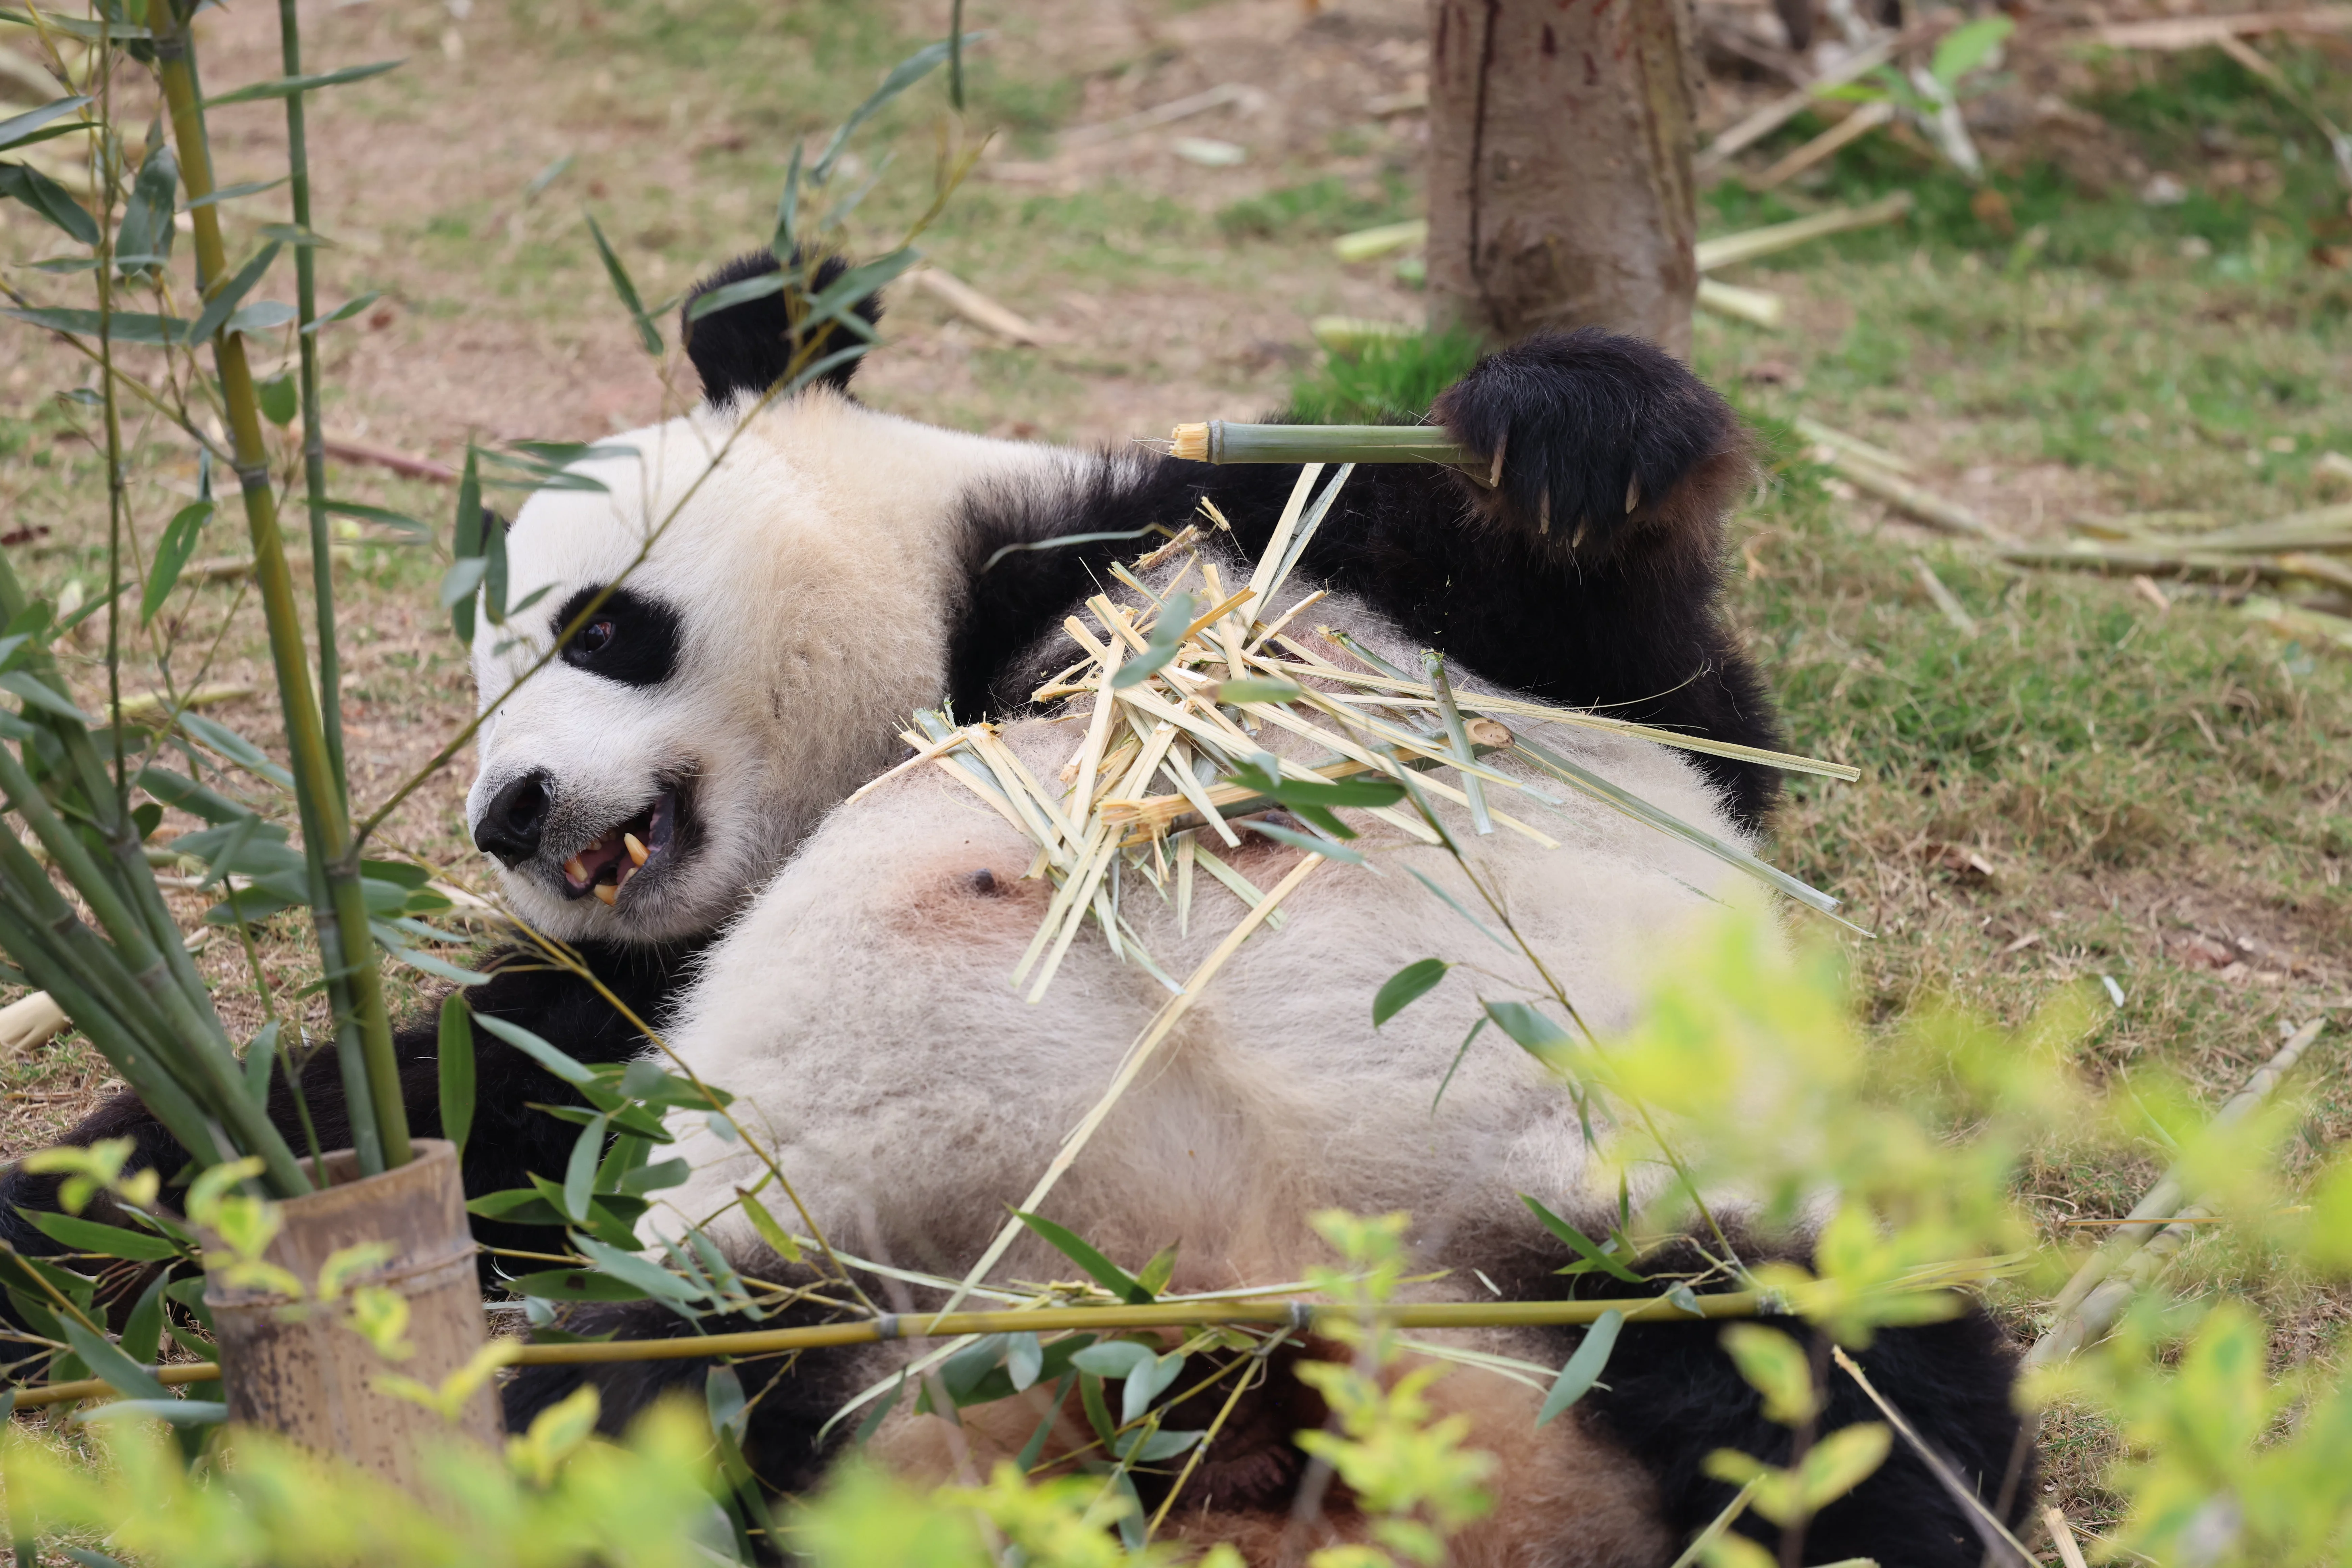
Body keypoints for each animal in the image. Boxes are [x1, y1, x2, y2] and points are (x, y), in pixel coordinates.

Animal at [0, 250, 2029, 1564]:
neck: (935, 660)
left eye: (597, 625)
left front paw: (1569, 437)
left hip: (1617, 1228)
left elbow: (1648, 679)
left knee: (1841, 1419)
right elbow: (433, 1105)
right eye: (475, 698)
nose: (504, 808)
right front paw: (82, 1204)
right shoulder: (636, 1009)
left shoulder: (1229, 553)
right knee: (615, 1423)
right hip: (783, 1312)